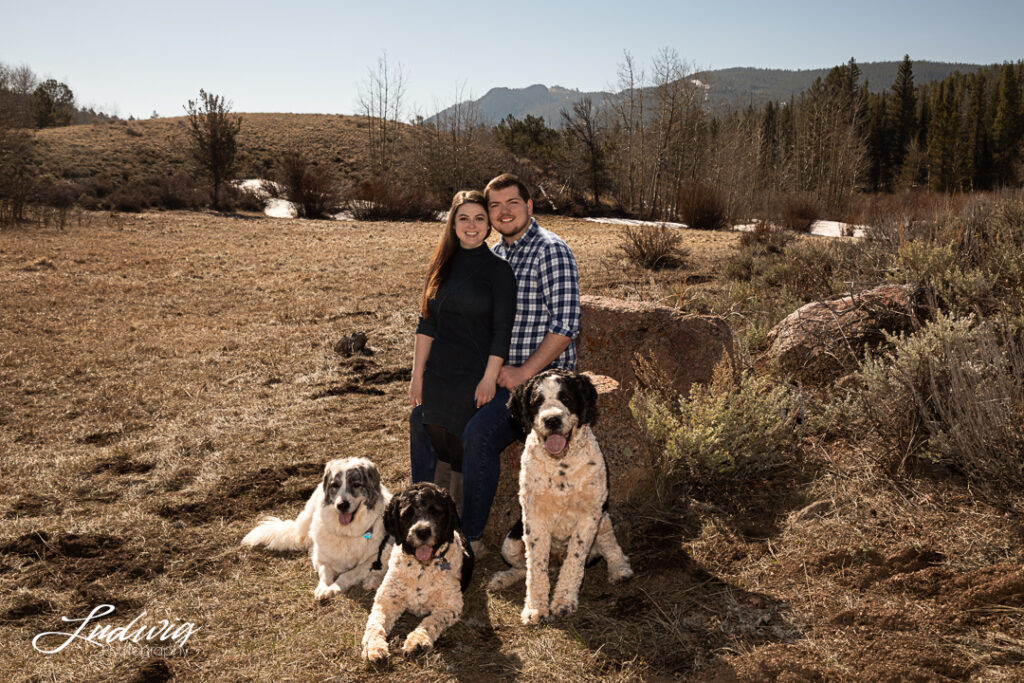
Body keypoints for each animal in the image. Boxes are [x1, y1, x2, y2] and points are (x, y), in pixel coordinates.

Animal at [241, 456, 393, 602]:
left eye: (356, 485)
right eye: (335, 485)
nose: (342, 505)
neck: (346, 532)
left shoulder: (375, 558)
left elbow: (349, 574)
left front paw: (335, 587)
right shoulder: (322, 559)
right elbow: (325, 573)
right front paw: (324, 588)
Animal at [360, 481, 471, 663]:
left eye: (437, 511)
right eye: (407, 514)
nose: (423, 531)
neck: (422, 567)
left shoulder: (450, 605)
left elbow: (430, 621)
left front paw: (417, 641)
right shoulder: (387, 600)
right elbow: (375, 623)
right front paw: (373, 647)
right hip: (389, 544)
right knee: (381, 560)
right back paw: (373, 579)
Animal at [487, 374, 630, 626]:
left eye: (566, 398)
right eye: (537, 401)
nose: (552, 420)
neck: (560, 465)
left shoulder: (589, 516)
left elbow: (574, 561)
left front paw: (563, 601)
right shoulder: (533, 518)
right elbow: (535, 567)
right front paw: (535, 608)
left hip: (603, 521)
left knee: (611, 546)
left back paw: (619, 569)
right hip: (511, 541)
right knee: (523, 566)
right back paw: (503, 578)